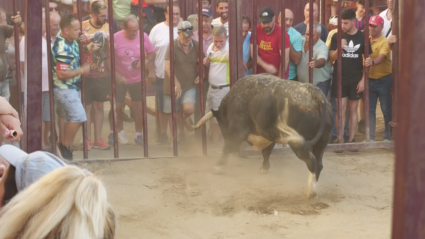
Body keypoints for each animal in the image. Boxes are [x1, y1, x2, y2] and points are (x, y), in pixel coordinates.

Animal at [194, 74, 332, 199]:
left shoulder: (237, 132)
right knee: (318, 164)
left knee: (311, 162)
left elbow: (227, 147)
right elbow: (267, 152)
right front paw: (264, 168)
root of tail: (318, 96)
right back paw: (313, 190)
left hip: (298, 144)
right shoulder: (270, 135)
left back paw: (310, 193)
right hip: (321, 143)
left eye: (221, 123)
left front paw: (218, 167)